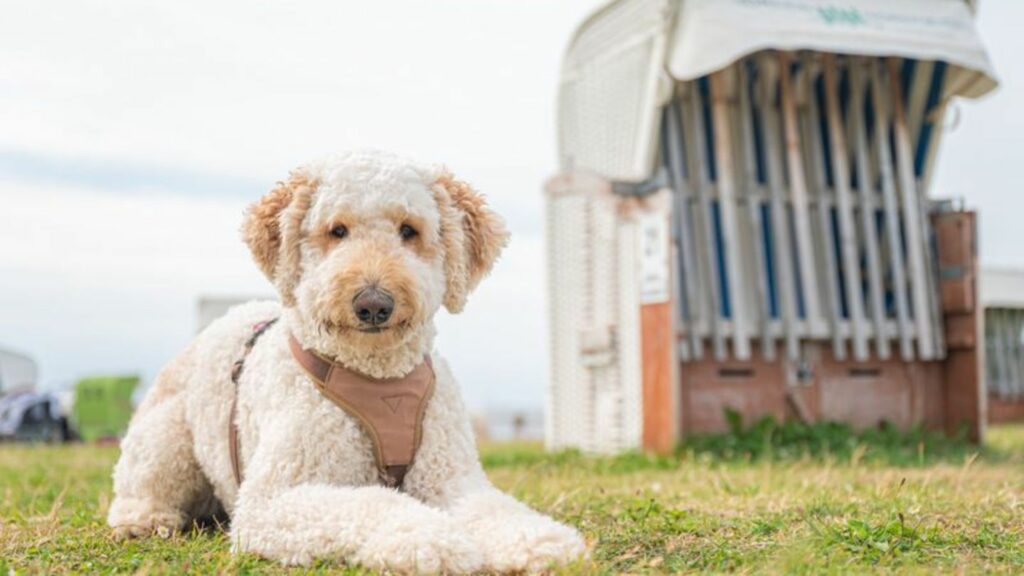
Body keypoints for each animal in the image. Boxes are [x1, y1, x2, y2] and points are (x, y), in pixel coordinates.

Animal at [105, 150, 585, 569]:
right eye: (337, 230)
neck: (377, 377)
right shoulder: (273, 500)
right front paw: (428, 539)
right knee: (138, 491)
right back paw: (144, 520)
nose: (373, 303)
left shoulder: (451, 478)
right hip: (164, 443)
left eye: (408, 230)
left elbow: (492, 508)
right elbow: (374, 502)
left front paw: (539, 540)